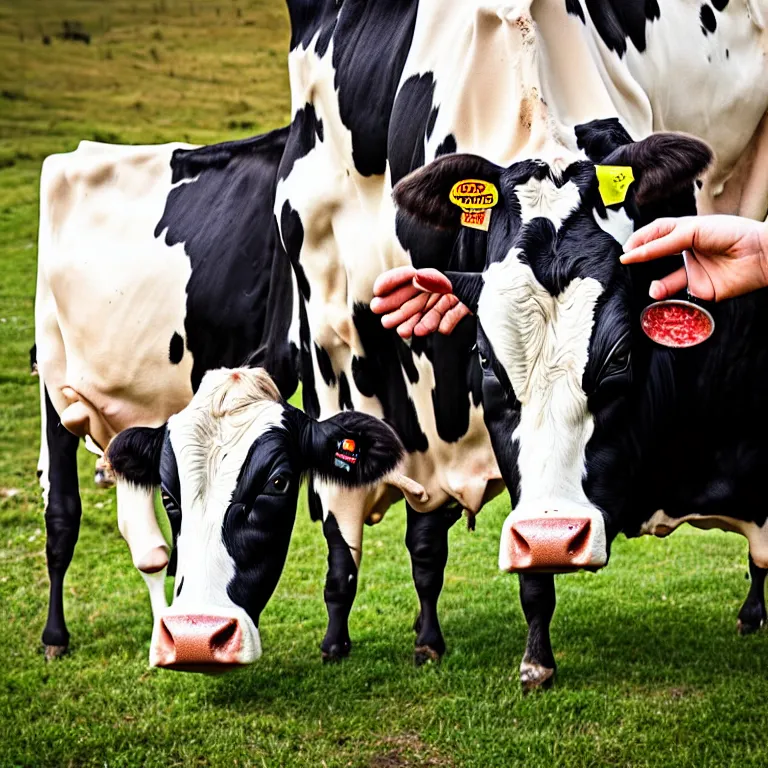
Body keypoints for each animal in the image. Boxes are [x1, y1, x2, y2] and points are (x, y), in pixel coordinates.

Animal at [36, 127, 300, 660]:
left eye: (278, 481)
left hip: (121, 414)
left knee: (149, 546)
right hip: (58, 382)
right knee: (63, 514)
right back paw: (56, 636)